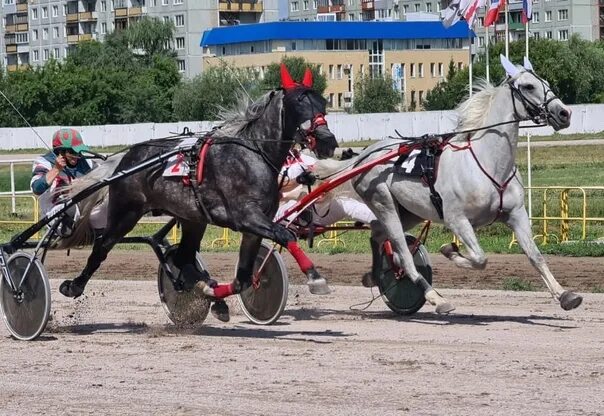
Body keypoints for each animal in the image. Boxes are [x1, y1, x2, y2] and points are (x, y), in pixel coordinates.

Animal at [314, 57, 584, 314]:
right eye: (528, 86)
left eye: (546, 82)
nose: (564, 113)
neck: (487, 164)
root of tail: (364, 155)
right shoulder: (457, 219)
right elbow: (480, 259)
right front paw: (449, 250)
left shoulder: (515, 214)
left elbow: (535, 256)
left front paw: (564, 295)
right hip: (384, 202)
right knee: (404, 254)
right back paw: (435, 297)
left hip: (409, 212)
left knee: (377, 232)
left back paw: (374, 275)